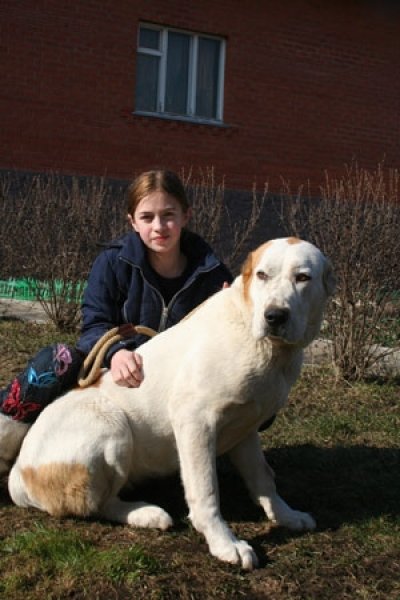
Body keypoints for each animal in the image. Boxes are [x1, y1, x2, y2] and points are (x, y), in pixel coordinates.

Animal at [7, 238, 336, 568]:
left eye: (303, 277)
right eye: (262, 275)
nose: (275, 316)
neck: (266, 346)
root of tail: (18, 473)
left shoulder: (246, 427)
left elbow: (263, 478)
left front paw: (285, 515)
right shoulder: (195, 422)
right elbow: (206, 490)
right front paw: (224, 543)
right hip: (111, 424)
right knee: (98, 504)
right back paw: (147, 514)